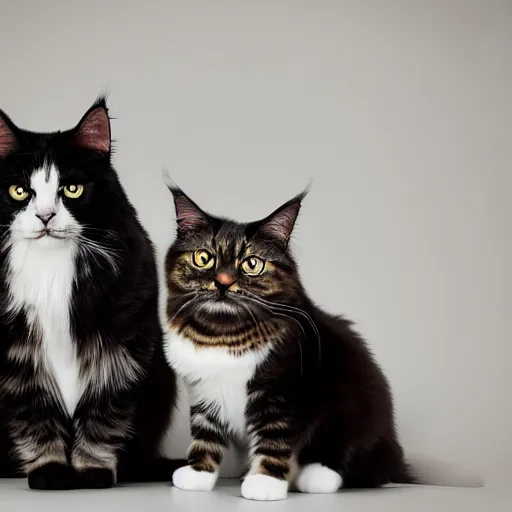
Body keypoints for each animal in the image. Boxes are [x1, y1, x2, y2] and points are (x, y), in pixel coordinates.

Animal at [0, 99, 184, 488]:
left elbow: (103, 417)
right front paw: (49, 472)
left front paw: (92, 471)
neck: (51, 269)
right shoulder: (18, 358)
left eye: (72, 189)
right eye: (19, 191)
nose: (45, 216)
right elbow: (37, 420)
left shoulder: (119, 348)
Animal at [163, 184, 480, 500]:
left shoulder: (282, 392)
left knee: (358, 467)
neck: (221, 333)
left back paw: (314, 476)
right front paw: (197, 474)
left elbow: (274, 437)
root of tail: (398, 462)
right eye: (204, 258)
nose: (223, 282)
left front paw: (265, 482)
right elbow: (206, 435)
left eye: (252, 264)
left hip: (351, 412)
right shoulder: (204, 392)